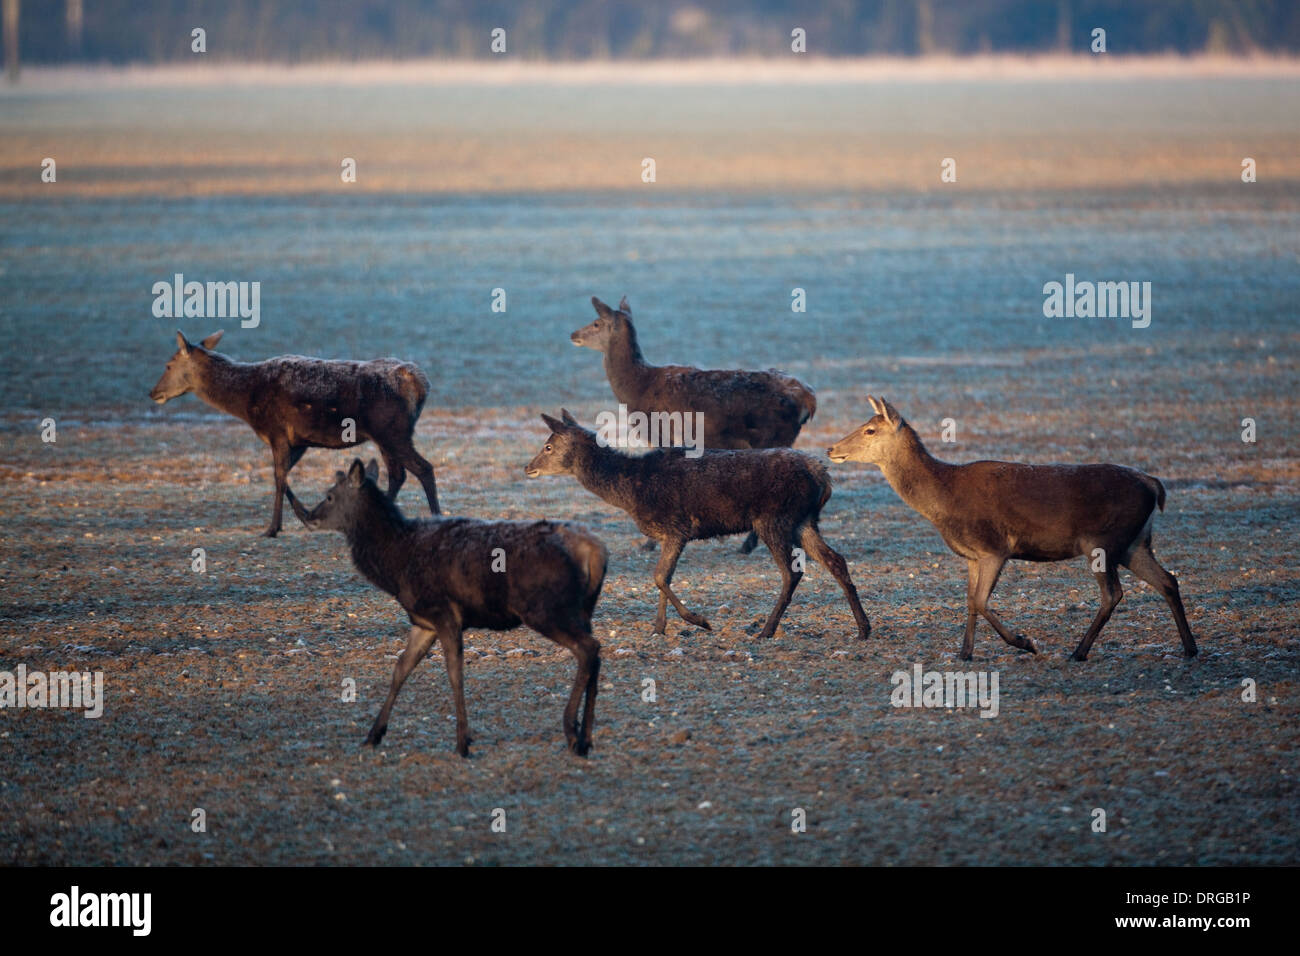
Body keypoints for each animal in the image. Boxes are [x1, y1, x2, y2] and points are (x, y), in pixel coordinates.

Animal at [149, 330, 439, 536]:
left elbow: (278, 477)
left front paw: (272, 528)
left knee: (423, 468)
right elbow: (285, 475)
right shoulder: (298, 441)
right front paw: (305, 516)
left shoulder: (276, 431)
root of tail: (420, 383)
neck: (246, 401)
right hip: (384, 436)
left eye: (168, 365)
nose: (153, 392)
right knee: (398, 474)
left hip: (392, 431)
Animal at [285, 459, 606, 757]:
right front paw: (373, 735)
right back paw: (587, 738)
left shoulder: (444, 613)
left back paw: (571, 731)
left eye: (329, 496)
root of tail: (594, 551)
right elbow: (400, 669)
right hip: (582, 610)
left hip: (544, 608)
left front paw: (463, 742)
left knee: (588, 649)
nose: (310, 517)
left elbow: (454, 673)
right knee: (596, 652)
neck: (395, 565)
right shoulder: (423, 622)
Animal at [526, 410, 871, 642]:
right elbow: (663, 577)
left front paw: (699, 621)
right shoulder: (671, 534)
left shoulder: (676, 527)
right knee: (836, 560)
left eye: (548, 446)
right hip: (804, 520)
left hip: (774, 518)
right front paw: (659, 628)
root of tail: (823, 477)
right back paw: (863, 627)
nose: (528, 467)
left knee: (792, 572)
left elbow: (659, 577)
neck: (630, 490)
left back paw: (766, 630)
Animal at [571, 296, 817, 554]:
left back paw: (747, 544)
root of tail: (808, 399)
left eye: (596, 322)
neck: (636, 390)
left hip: (773, 436)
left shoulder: (663, 435)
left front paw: (649, 543)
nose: (573, 334)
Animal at [827, 396, 1198, 662]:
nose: (831, 448)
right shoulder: (973, 556)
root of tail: (1153, 485)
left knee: (1113, 593)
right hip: (1134, 542)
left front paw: (1025, 642)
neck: (943, 500)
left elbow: (980, 601)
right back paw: (1190, 648)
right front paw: (965, 653)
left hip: (1103, 540)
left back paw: (1078, 652)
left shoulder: (995, 548)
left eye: (870, 430)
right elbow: (970, 601)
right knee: (1168, 580)